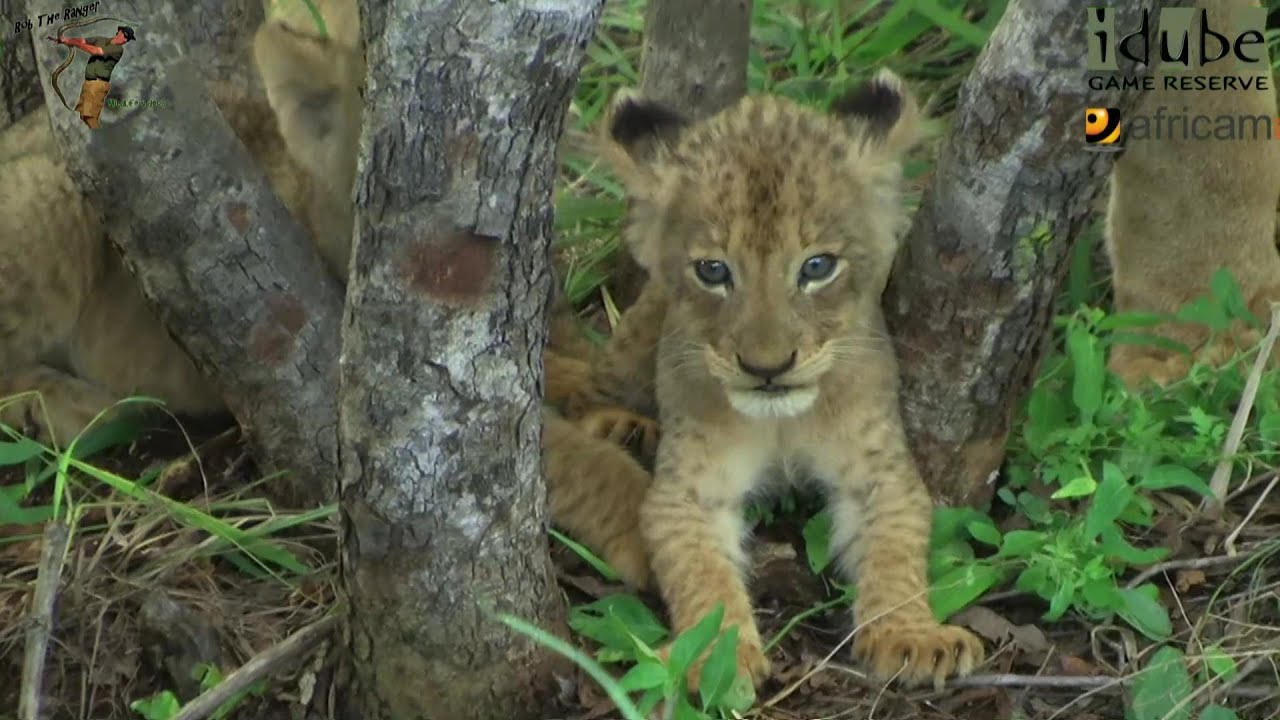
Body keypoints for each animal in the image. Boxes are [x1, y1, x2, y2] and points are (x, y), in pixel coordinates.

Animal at [586, 70, 985, 689]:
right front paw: (713, 656)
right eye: (713, 270)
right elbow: (700, 573)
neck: (781, 425)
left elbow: (895, 551)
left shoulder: (880, 470)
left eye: (817, 267)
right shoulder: (687, 491)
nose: (768, 367)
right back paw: (619, 427)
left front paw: (913, 637)